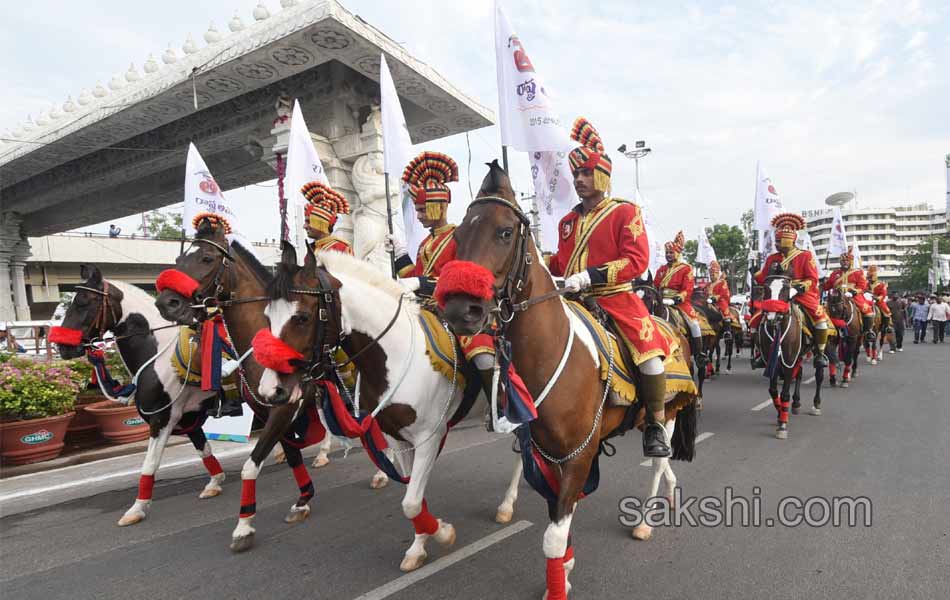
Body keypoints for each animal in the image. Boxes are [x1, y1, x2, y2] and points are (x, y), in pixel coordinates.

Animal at [52, 266, 229, 524]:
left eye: (85, 301)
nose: (62, 347)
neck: (158, 354)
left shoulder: (162, 419)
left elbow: (150, 464)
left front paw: (137, 508)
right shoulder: (187, 418)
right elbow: (203, 450)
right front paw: (215, 482)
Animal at [438, 159, 700, 600]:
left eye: (504, 232)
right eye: (457, 235)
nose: (460, 310)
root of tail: (670, 324)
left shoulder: (578, 453)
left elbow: (553, 535)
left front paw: (559, 581)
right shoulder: (549, 453)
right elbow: (558, 518)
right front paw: (566, 567)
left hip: (665, 413)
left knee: (657, 459)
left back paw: (647, 519)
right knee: (663, 467)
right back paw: (670, 494)